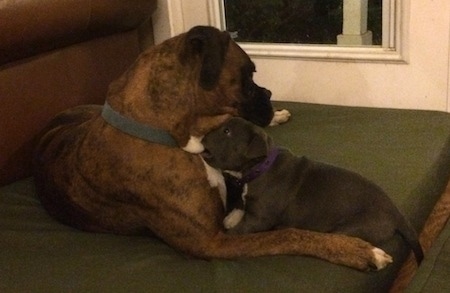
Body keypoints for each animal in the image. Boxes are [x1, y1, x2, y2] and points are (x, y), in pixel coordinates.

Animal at [32, 26, 390, 270]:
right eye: (249, 74)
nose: (268, 94)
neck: (174, 134)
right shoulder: (212, 242)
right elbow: (289, 234)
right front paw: (356, 249)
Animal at [202, 116, 424, 262]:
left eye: (227, 132)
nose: (202, 136)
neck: (261, 166)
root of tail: (397, 213)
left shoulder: (260, 219)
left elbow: (238, 232)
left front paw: (226, 234)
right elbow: (240, 205)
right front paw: (231, 217)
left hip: (353, 227)